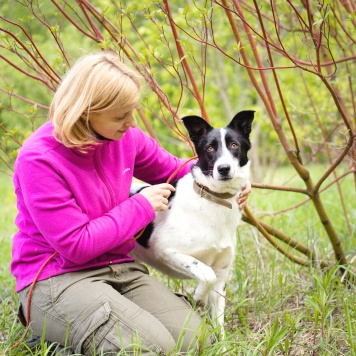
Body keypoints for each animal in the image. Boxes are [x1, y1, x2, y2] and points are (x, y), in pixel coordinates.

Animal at [132, 110, 254, 336]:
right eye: (210, 148)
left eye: (234, 145)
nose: (224, 169)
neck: (213, 200)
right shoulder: (165, 250)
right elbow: (206, 274)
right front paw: (198, 297)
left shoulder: (222, 273)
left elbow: (219, 319)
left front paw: (222, 342)